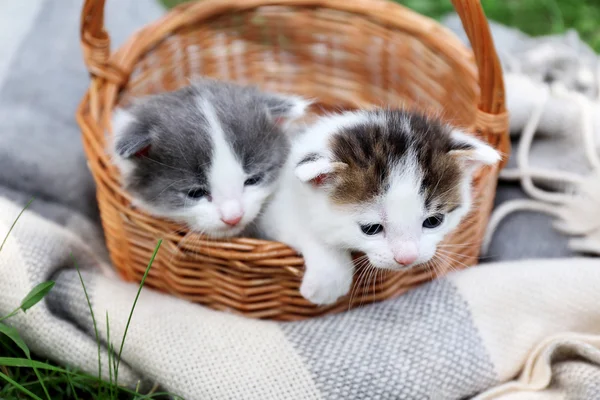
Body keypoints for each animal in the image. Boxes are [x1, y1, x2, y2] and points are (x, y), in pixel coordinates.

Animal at [258, 108, 502, 304]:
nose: (407, 258)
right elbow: (305, 229)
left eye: (433, 221)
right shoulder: (274, 210)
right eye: (371, 228)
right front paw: (328, 282)